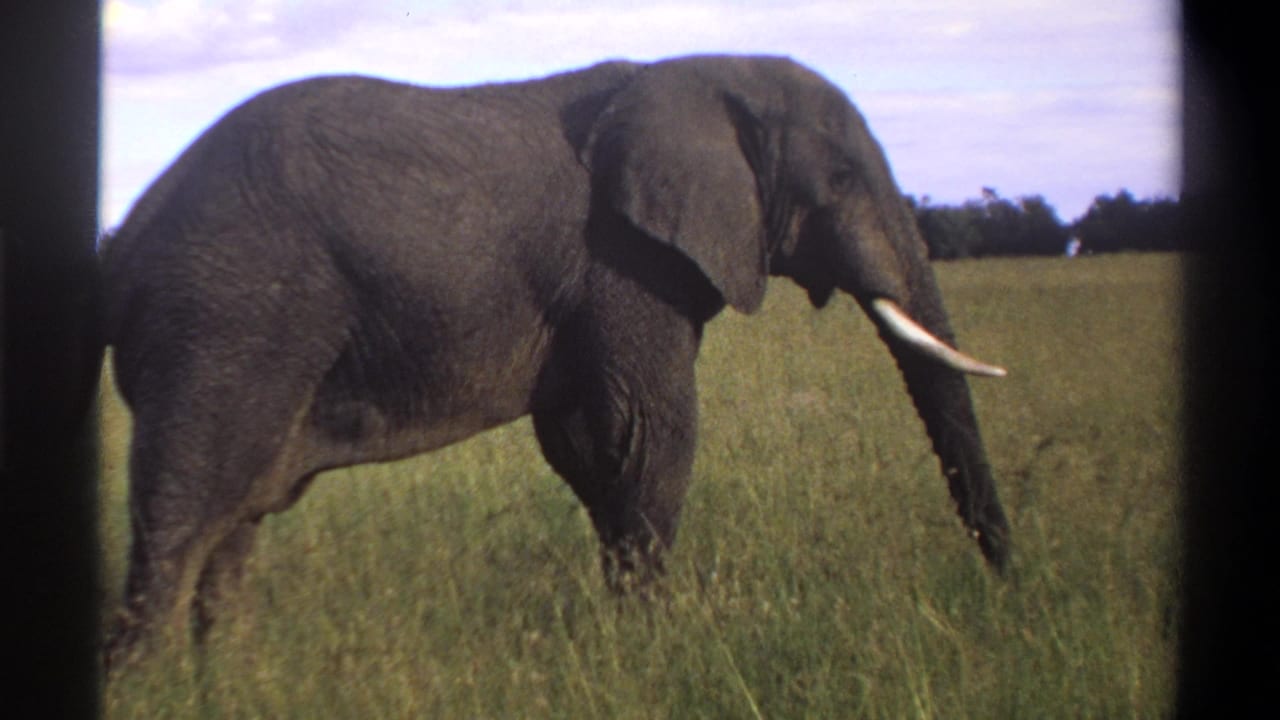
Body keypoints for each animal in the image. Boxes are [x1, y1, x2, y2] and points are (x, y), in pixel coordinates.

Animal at [100, 54, 1010, 665]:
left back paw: (231, 682)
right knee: (180, 523)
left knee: (234, 528)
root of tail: (128, 238)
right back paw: (154, 686)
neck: (699, 71)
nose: (1009, 587)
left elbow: (590, 446)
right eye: (845, 177)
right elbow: (647, 436)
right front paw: (656, 649)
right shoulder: (624, 260)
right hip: (225, 321)